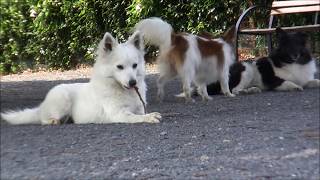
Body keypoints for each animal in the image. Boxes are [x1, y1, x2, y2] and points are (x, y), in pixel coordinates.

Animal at [1, 31, 161, 124]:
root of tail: (42, 106)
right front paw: (149, 117)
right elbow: (136, 117)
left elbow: (140, 113)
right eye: (119, 67)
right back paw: (54, 121)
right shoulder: (118, 114)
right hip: (62, 100)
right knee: (43, 120)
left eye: (134, 65)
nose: (133, 82)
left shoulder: (139, 108)